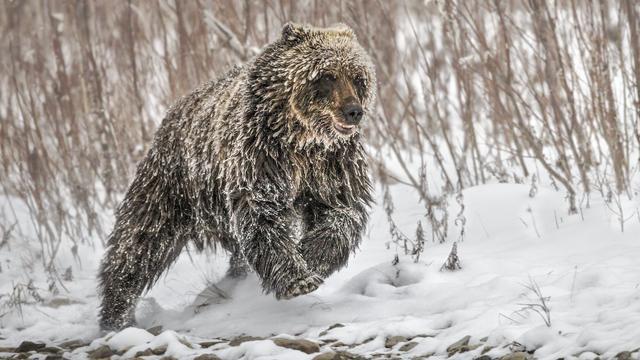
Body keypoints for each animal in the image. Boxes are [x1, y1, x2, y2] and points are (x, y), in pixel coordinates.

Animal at [99, 23, 376, 330]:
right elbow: (263, 217)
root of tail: (173, 111)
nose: (353, 111)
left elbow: (341, 213)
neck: (302, 139)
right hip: (172, 183)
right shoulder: (262, 159)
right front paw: (296, 279)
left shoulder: (331, 166)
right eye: (327, 76)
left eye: (358, 77)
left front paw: (311, 258)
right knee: (140, 241)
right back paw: (117, 314)